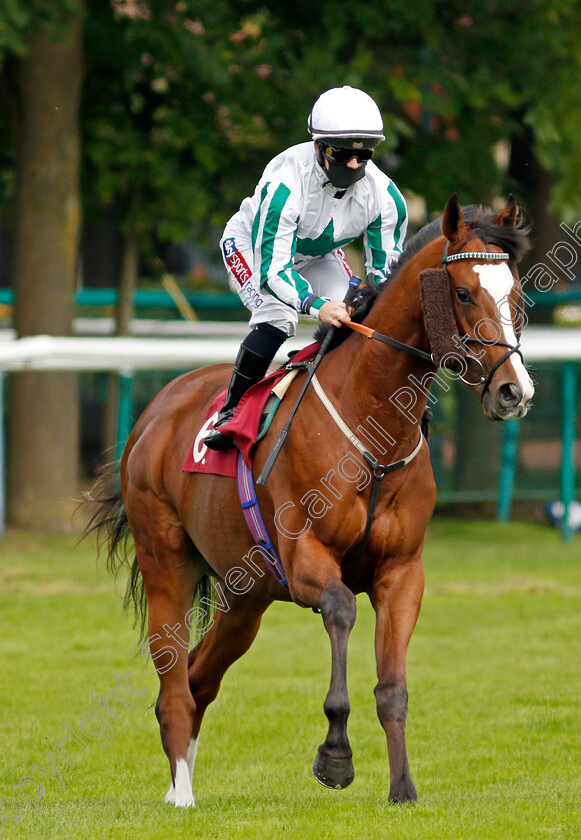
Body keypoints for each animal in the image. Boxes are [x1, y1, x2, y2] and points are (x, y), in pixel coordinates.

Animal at [87, 195, 536, 808]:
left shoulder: (402, 572)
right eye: (465, 293)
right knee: (173, 676)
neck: (373, 432)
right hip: (166, 563)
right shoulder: (306, 560)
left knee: (200, 677)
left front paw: (402, 788)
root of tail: (157, 410)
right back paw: (181, 792)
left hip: (245, 595)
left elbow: (393, 687)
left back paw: (184, 777)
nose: (515, 392)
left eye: (515, 294)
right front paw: (336, 757)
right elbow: (342, 610)